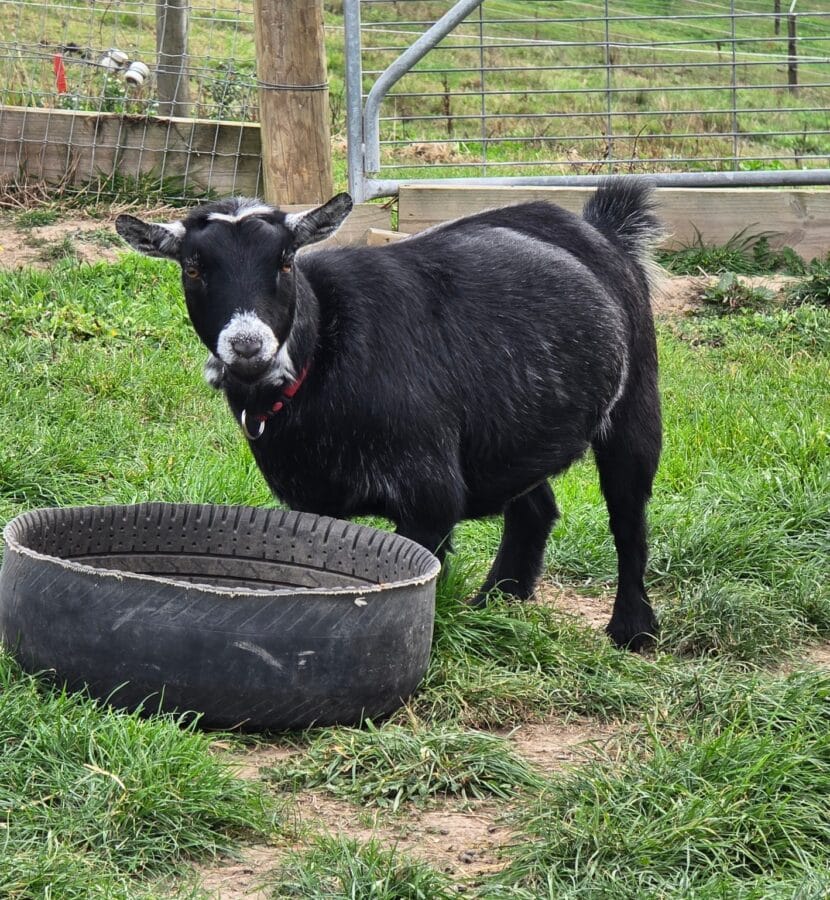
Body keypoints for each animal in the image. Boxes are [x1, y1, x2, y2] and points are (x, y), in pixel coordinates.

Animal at [116, 179, 663, 650]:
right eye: (192, 267)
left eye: (286, 260)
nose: (248, 344)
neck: (322, 354)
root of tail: (598, 229)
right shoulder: (312, 501)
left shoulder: (429, 499)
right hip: (511, 433)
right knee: (535, 506)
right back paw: (497, 601)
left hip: (636, 401)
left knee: (628, 516)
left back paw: (633, 629)